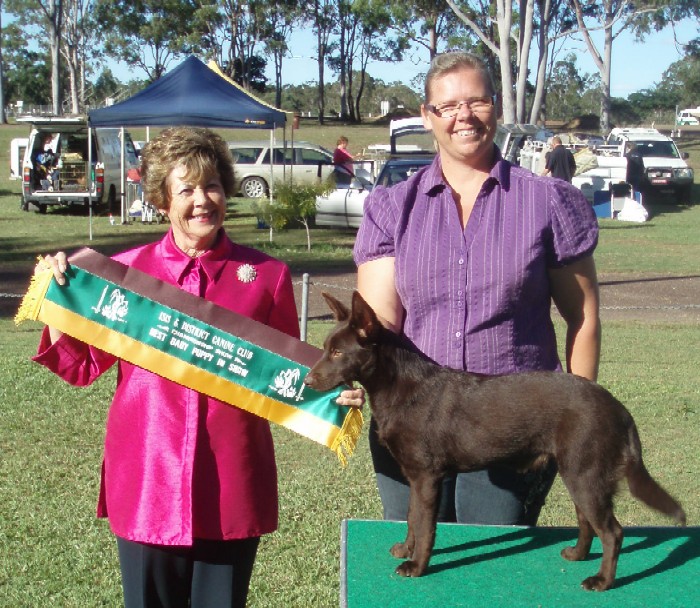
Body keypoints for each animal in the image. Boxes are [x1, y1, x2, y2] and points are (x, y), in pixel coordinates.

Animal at [304, 291, 686, 591]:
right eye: (325, 349)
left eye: (337, 353)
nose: (307, 381)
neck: (401, 387)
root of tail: (618, 407)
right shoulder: (414, 477)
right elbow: (412, 517)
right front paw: (406, 549)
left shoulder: (427, 477)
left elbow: (426, 525)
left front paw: (417, 566)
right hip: (580, 473)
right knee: (587, 521)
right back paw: (577, 556)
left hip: (585, 473)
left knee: (613, 532)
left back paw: (602, 581)